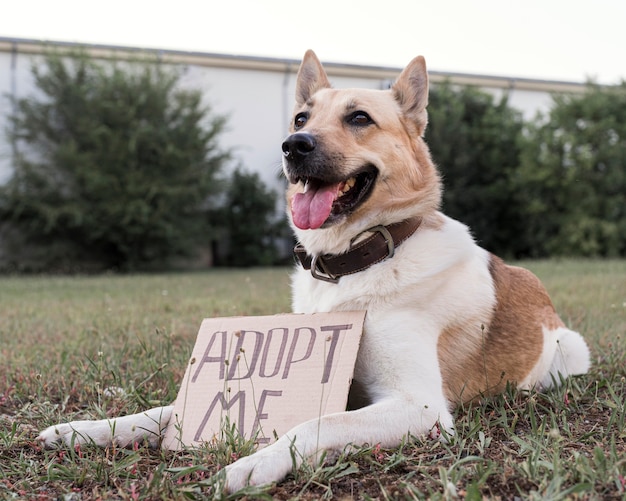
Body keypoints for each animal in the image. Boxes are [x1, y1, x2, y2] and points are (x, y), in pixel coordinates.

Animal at [39, 51, 588, 492]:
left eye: (360, 118)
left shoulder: (419, 406)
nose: (293, 144)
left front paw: (255, 462)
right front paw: (88, 428)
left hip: (567, 355)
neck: (351, 266)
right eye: (301, 116)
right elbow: (165, 411)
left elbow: (316, 422)